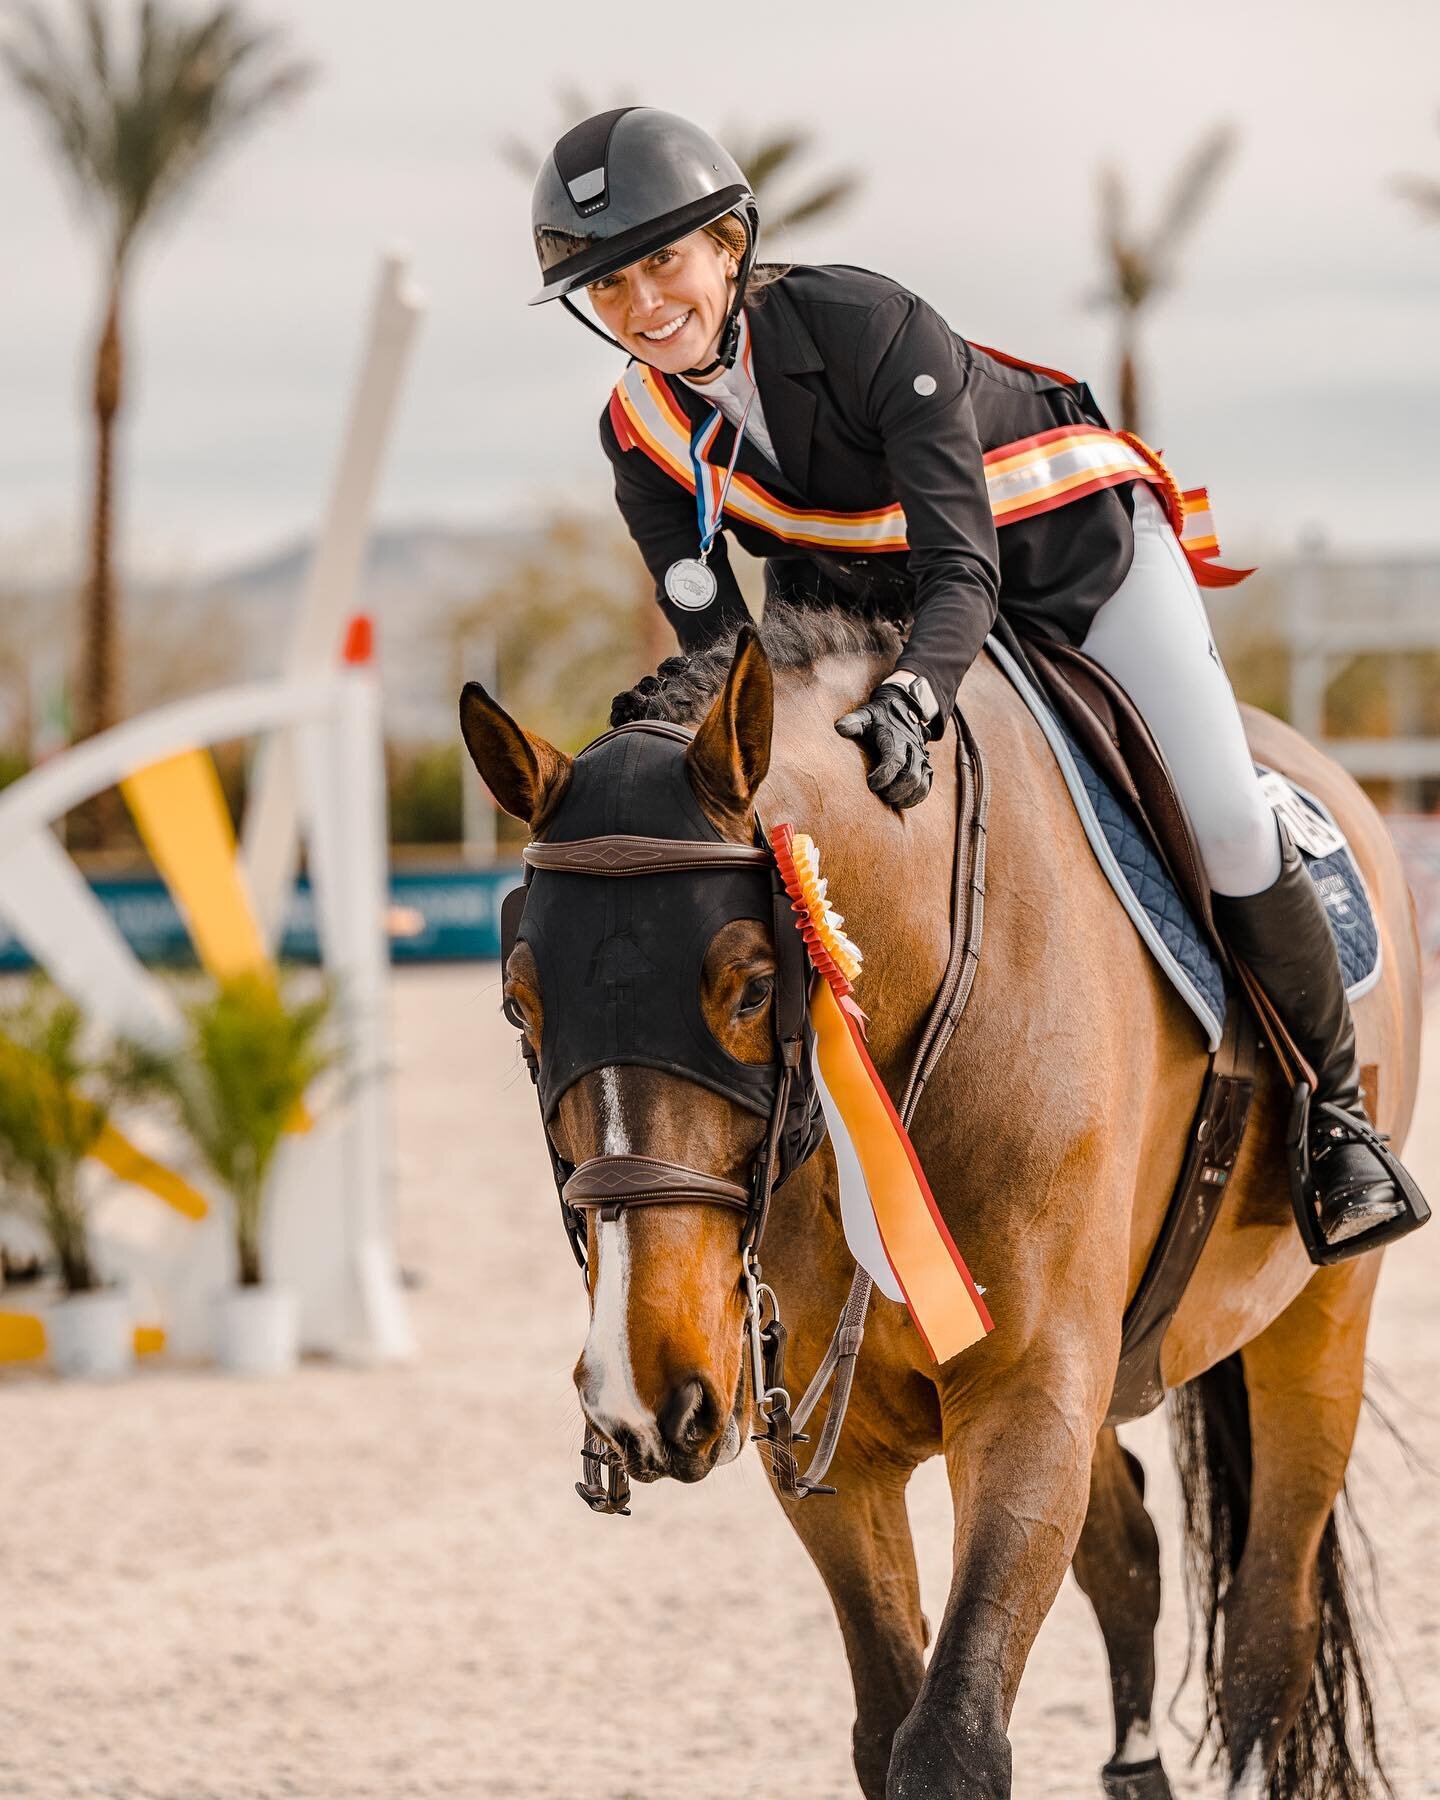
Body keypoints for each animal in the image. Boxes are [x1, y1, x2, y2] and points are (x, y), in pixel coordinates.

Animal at [459, 608, 1418, 1800]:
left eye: (753, 986)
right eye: (519, 1005)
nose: (645, 1396)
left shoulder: (1028, 1396)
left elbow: (950, 1738)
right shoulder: (837, 1455)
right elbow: (887, 1723)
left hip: (1315, 1329)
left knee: (1266, 1639)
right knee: (1132, 1562)